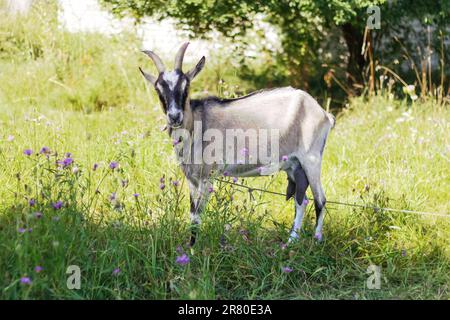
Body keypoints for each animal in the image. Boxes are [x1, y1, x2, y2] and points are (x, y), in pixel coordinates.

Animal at [139, 42, 336, 246]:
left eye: (186, 87)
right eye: (158, 90)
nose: (174, 116)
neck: (196, 125)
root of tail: (324, 114)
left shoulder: (206, 176)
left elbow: (197, 217)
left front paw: (192, 251)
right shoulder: (191, 178)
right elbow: (192, 214)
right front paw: (189, 247)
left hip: (311, 159)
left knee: (320, 200)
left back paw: (316, 241)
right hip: (294, 165)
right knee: (301, 200)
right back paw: (290, 242)